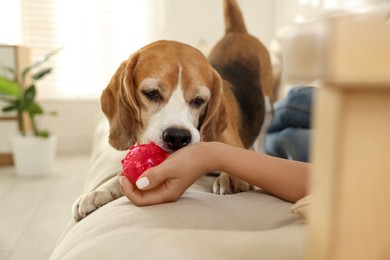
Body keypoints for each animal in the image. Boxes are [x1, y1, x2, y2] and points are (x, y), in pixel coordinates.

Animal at [71, 0, 272, 221]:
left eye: (199, 100)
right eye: (152, 93)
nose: (177, 137)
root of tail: (236, 32)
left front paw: (233, 177)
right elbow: (120, 178)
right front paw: (98, 192)